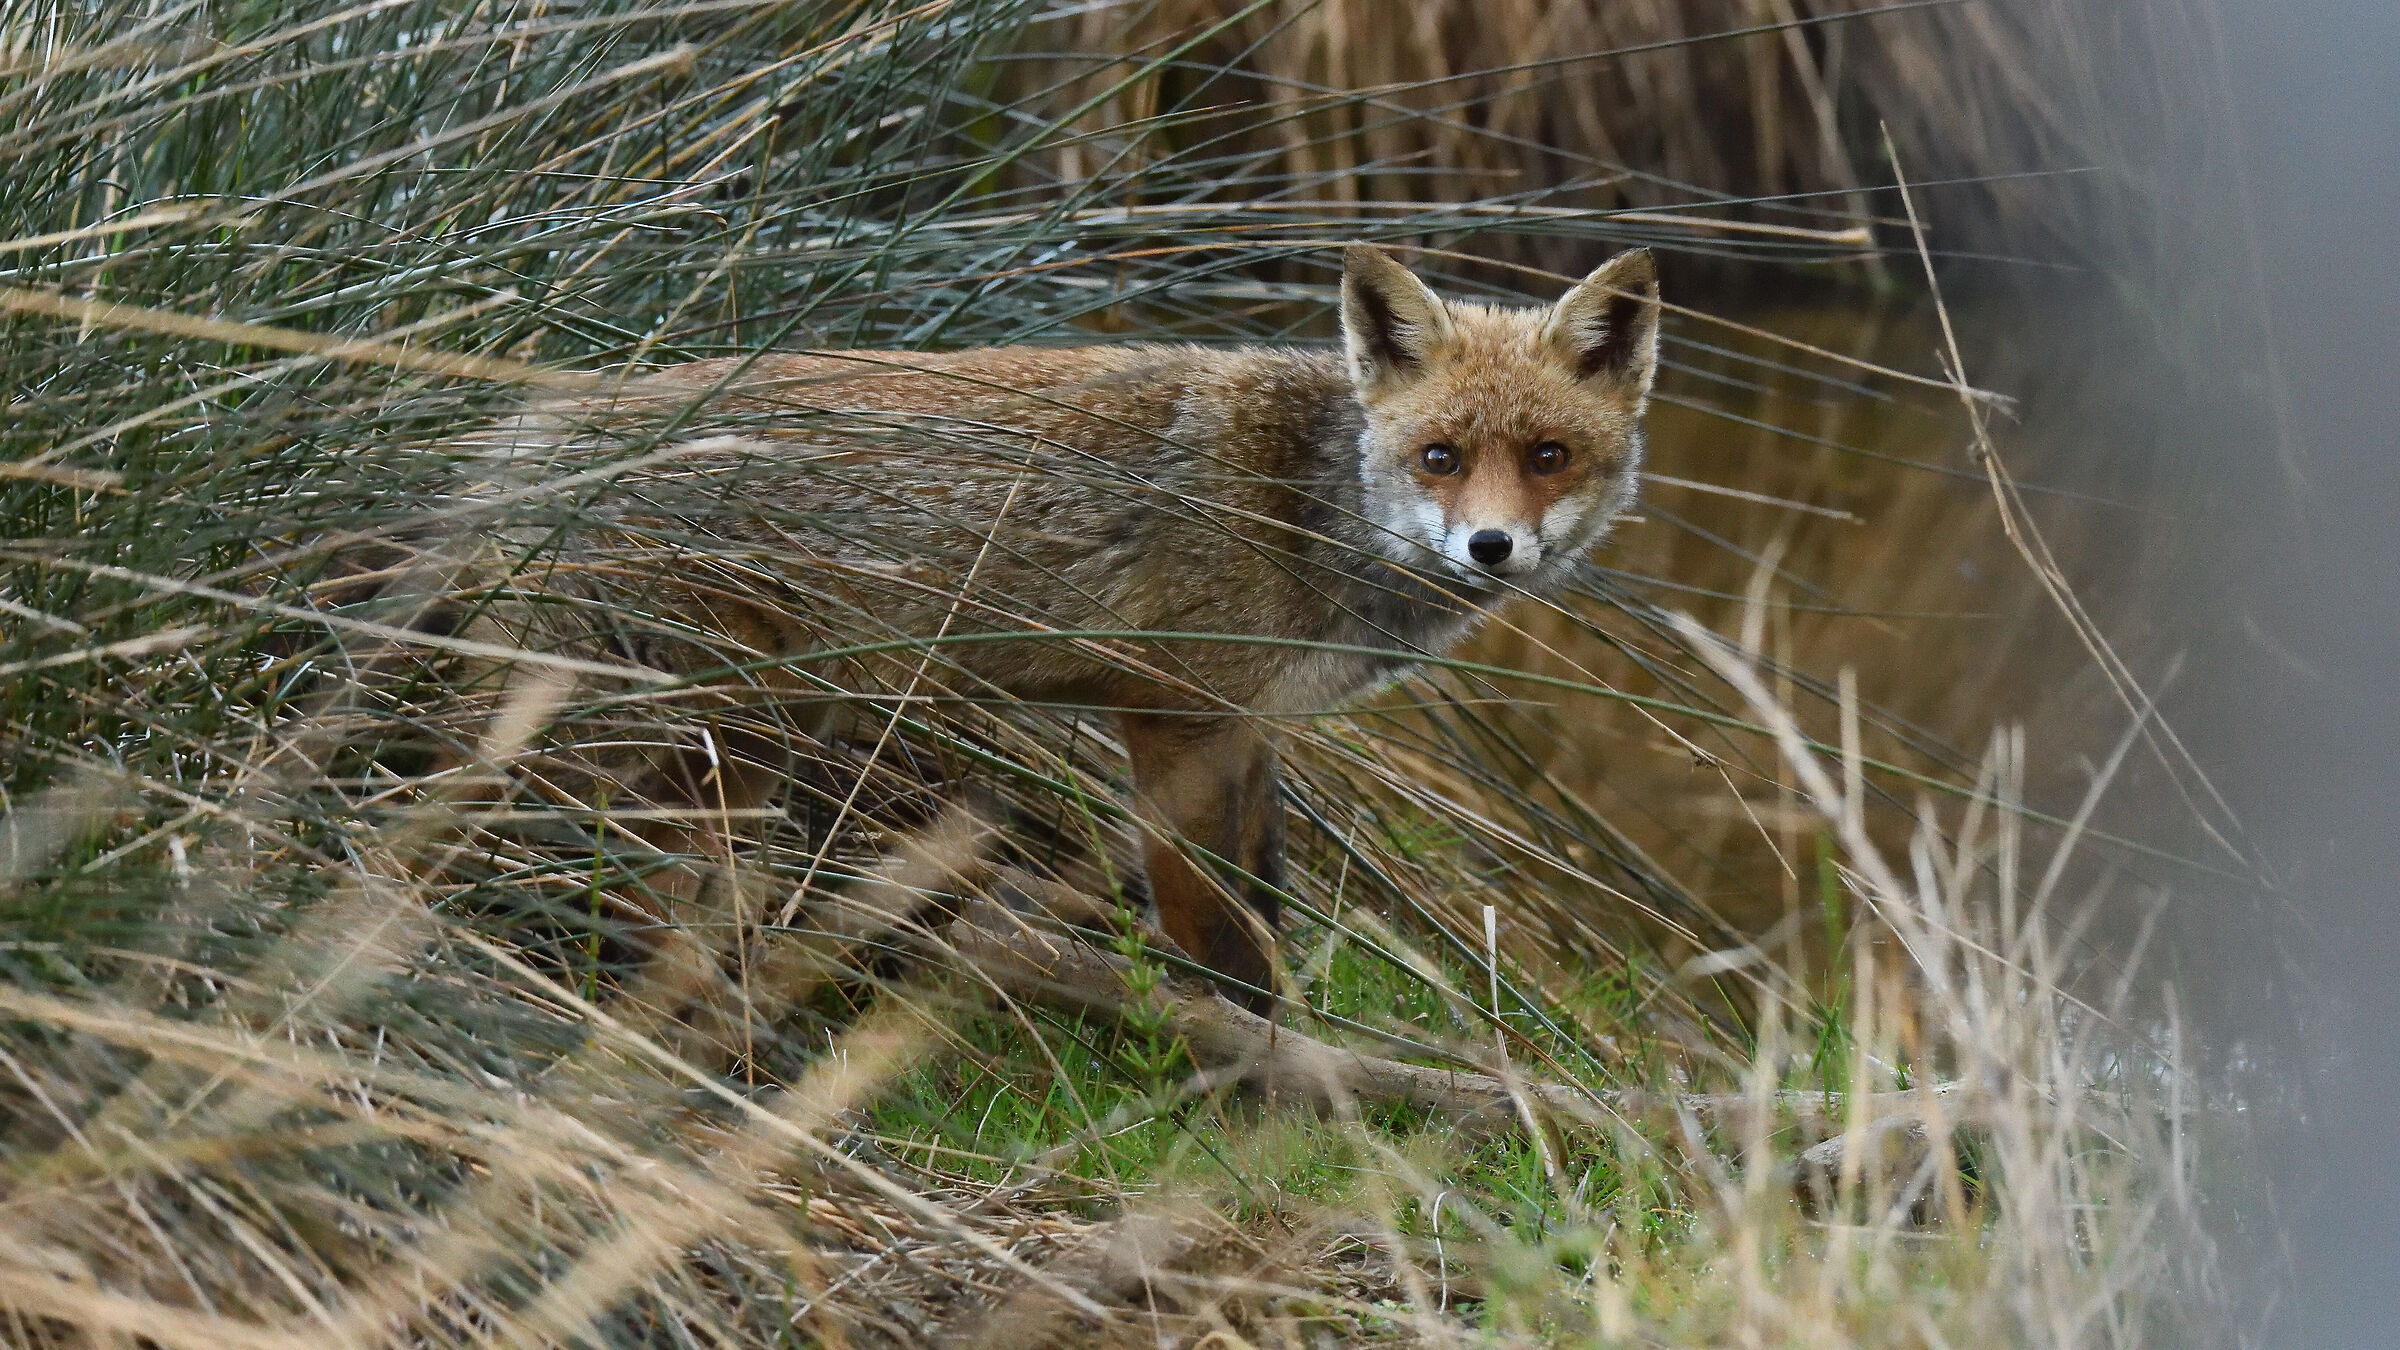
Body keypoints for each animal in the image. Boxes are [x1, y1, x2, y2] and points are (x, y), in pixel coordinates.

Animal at [412, 243, 1660, 1015]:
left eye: (1549, 455)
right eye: (1440, 456)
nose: (1491, 548)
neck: (1302, 503)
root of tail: (523, 429)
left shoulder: (1253, 726)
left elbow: (1263, 899)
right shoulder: (1178, 715)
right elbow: (1221, 933)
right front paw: (1266, 1070)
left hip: (730, 744)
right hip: (670, 723)